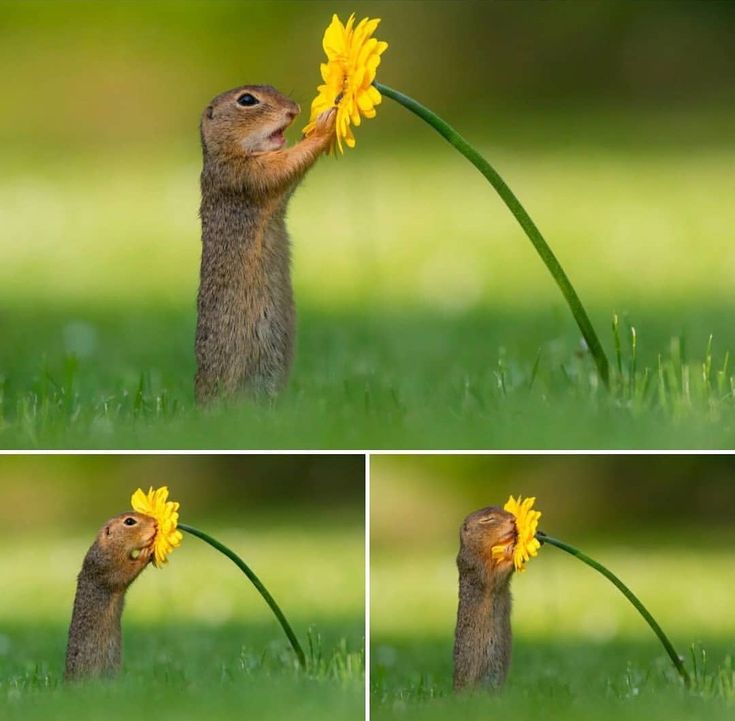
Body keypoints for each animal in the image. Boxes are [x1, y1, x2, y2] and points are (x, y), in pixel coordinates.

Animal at [65, 512, 157, 680]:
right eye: (129, 521)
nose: (155, 523)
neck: (109, 546)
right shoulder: (108, 567)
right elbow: (126, 573)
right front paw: (145, 553)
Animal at [194, 83, 334, 404]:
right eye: (247, 100)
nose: (294, 109)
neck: (226, 153)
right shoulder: (246, 174)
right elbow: (286, 165)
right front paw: (325, 124)